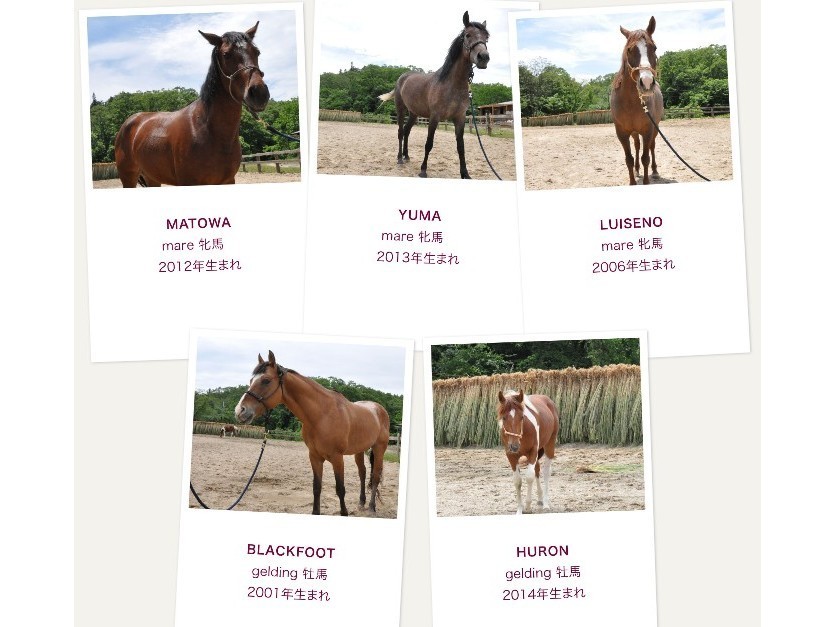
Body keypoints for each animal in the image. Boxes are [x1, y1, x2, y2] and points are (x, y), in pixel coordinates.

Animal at [114, 22, 270, 187]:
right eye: (226, 54)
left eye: (257, 52)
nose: (259, 93)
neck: (207, 129)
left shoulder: (228, 181)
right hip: (128, 178)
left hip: (152, 177)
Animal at [234, 350, 390, 516]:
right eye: (251, 380)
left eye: (266, 380)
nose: (240, 410)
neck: (322, 415)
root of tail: (379, 409)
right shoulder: (314, 457)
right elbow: (316, 487)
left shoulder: (337, 458)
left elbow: (340, 489)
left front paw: (344, 512)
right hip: (359, 451)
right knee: (363, 473)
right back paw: (361, 503)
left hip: (379, 449)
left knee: (375, 476)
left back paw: (372, 507)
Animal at [378, 11, 490, 179]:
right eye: (468, 35)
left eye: (486, 37)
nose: (483, 57)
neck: (451, 84)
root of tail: (402, 77)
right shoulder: (434, 117)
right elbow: (428, 144)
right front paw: (423, 170)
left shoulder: (460, 118)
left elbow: (461, 147)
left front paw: (465, 174)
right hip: (400, 109)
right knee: (400, 132)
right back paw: (399, 158)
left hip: (414, 113)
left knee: (407, 131)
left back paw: (406, 156)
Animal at [610, 16, 664, 186]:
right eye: (629, 50)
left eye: (655, 48)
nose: (646, 82)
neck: (631, 102)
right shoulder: (622, 133)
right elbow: (629, 158)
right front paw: (633, 180)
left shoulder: (648, 130)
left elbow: (646, 157)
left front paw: (646, 180)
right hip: (634, 133)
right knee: (637, 146)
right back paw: (637, 169)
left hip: (655, 128)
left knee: (651, 147)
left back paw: (655, 172)